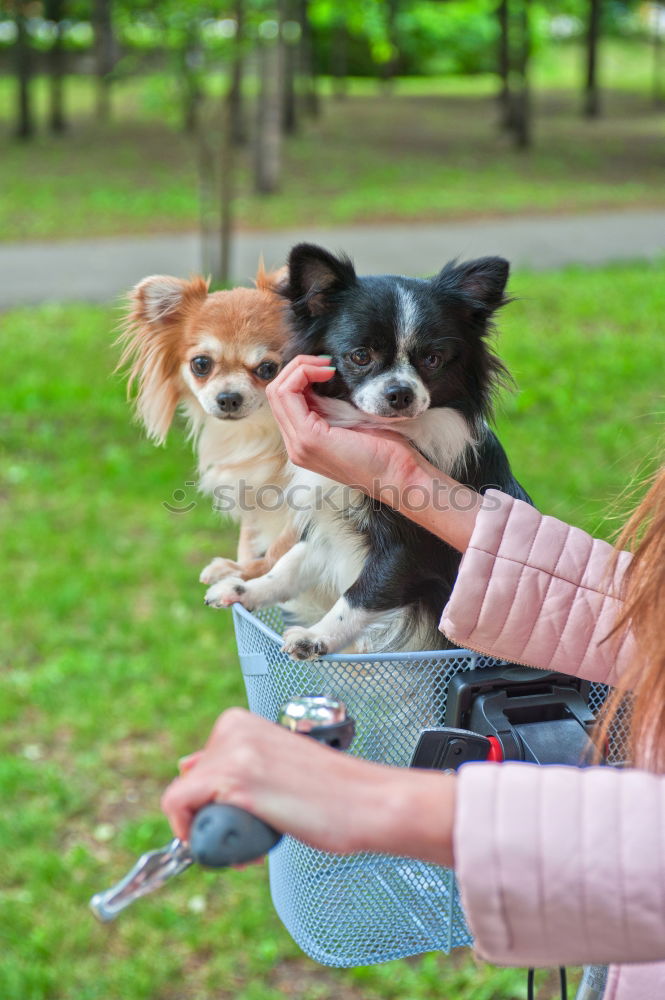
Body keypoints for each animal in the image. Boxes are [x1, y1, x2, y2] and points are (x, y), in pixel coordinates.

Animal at [116, 266, 296, 584]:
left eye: (268, 369)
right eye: (201, 364)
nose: (228, 398)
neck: (261, 431)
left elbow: (280, 549)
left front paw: (242, 573)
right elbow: (251, 538)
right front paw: (244, 567)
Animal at [205, 244, 532, 656]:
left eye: (432, 360)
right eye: (360, 356)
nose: (400, 392)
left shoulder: (406, 550)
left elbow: (360, 595)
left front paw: (316, 637)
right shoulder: (328, 523)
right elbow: (291, 565)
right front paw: (244, 589)